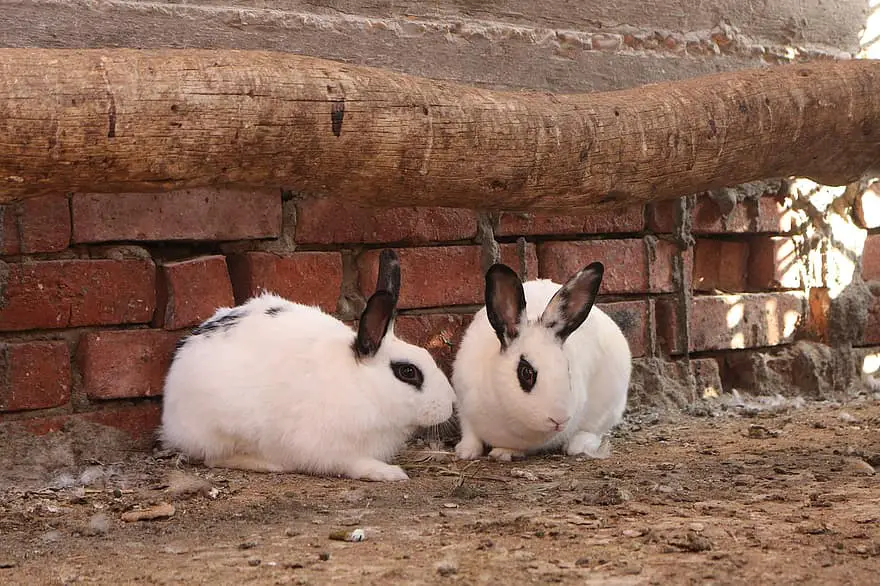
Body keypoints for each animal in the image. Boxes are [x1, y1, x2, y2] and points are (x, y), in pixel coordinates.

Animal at [161, 246, 458, 480]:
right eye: (407, 372)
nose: (451, 403)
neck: (362, 385)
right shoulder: (330, 448)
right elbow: (354, 464)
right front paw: (389, 473)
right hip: (223, 430)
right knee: (214, 458)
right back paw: (269, 464)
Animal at [450, 262, 628, 460]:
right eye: (526, 372)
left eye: (568, 370)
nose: (559, 419)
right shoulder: (463, 404)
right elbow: (469, 431)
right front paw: (466, 451)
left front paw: (503, 452)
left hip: (609, 406)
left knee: (594, 430)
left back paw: (577, 445)